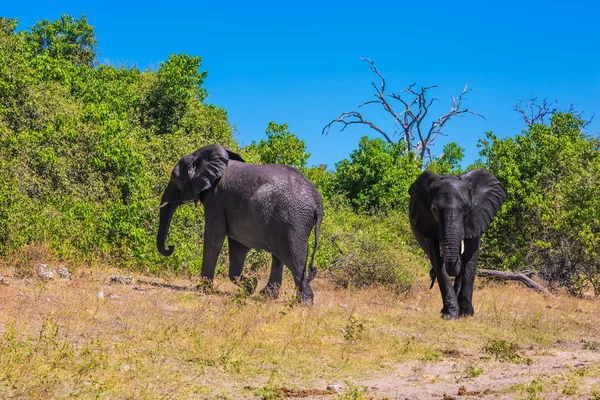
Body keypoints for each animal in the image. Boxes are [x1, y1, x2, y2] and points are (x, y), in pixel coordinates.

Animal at [155, 144, 324, 304]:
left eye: (174, 177)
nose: (171, 247)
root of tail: (318, 203)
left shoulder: (216, 200)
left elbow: (214, 238)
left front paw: (202, 289)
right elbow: (238, 245)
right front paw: (251, 285)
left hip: (293, 221)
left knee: (294, 256)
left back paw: (303, 303)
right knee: (280, 257)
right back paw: (265, 296)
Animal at [408, 169, 506, 318]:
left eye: (466, 209)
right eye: (434, 210)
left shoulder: (477, 217)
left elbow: (471, 257)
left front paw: (466, 314)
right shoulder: (428, 221)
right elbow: (437, 259)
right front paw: (450, 315)